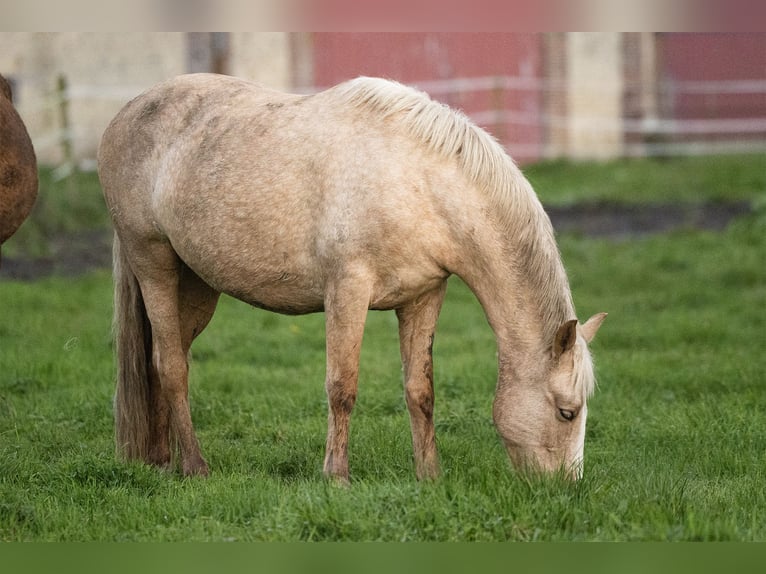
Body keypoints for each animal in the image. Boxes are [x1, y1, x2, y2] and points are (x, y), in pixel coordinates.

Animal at [99, 74, 608, 484]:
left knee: (163, 361)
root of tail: (123, 116)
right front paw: (337, 478)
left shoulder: (424, 296)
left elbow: (420, 391)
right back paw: (195, 467)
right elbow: (342, 388)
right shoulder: (347, 290)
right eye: (567, 412)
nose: (568, 488)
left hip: (196, 285)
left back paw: (162, 461)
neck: (418, 181)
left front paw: (430, 477)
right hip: (154, 262)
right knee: (171, 365)